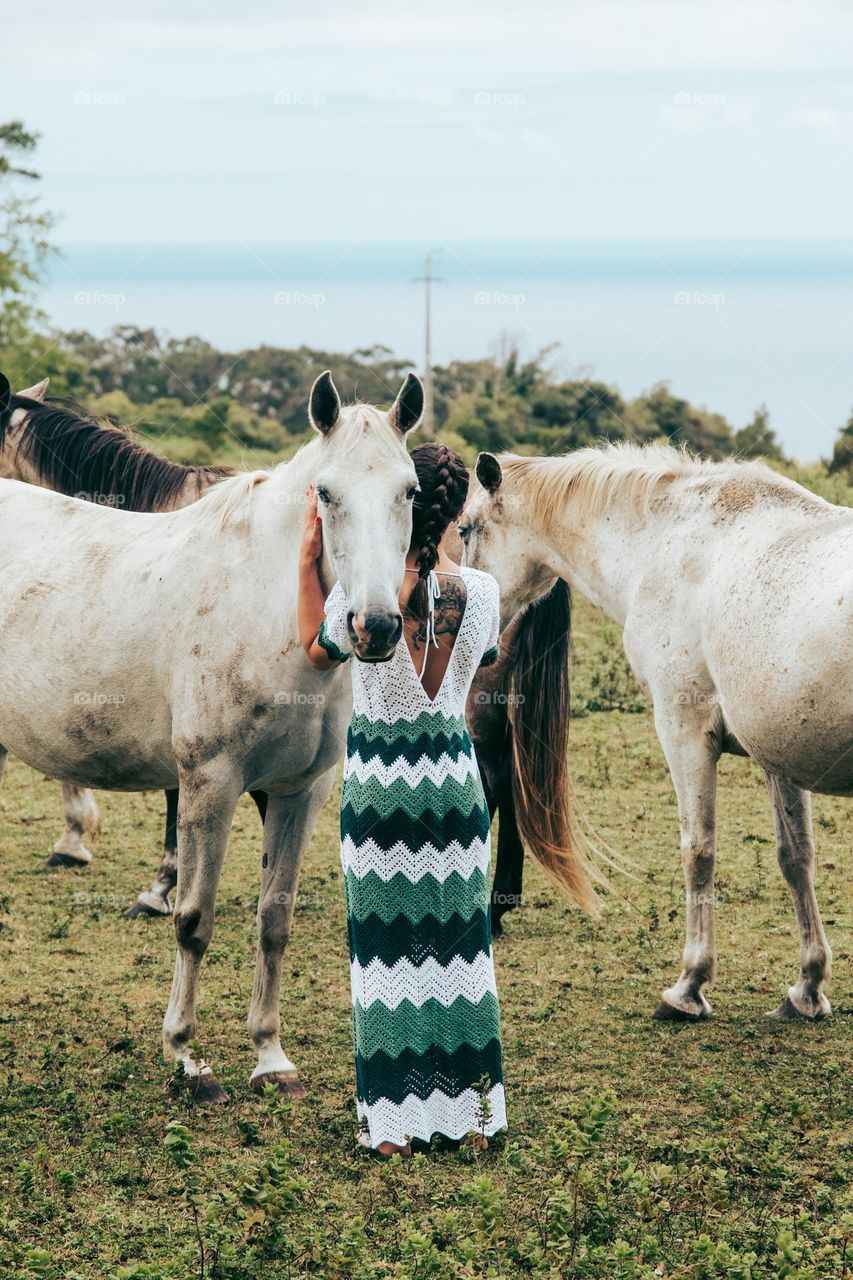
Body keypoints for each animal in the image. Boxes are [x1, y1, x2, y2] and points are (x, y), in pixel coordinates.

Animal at [0, 369, 422, 1100]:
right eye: (327, 493)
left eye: (410, 491)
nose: (375, 626)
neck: (263, 608)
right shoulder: (209, 783)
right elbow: (193, 921)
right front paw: (186, 1058)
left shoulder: (300, 792)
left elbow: (273, 920)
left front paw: (270, 1057)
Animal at [463, 442, 853, 1021]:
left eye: (465, 528)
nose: (473, 644)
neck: (668, 544)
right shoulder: (777, 753)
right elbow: (795, 856)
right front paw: (807, 987)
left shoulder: (683, 729)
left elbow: (699, 850)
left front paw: (689, 986)